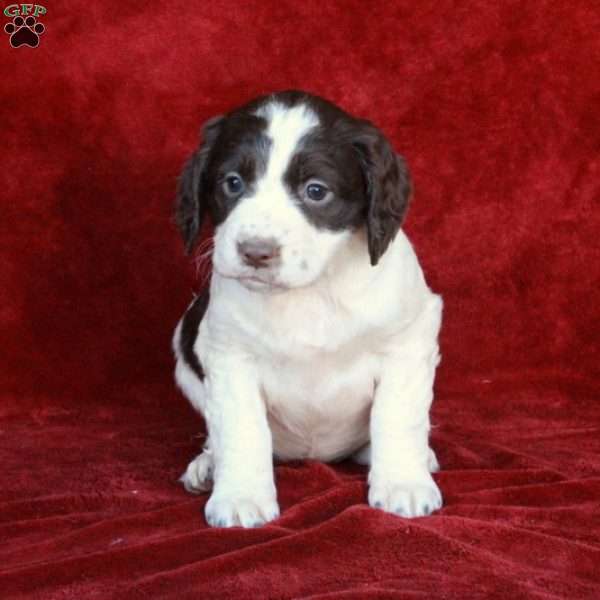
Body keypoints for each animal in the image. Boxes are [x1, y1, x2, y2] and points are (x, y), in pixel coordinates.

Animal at [171, 90, 442, 528]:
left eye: (316, 191)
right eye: (232, 183)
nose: (255, 252)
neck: (311, 292)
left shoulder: (408, 340)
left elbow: (397, 416)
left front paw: (404, 482)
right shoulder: (229, 354)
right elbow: (242, 427)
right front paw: (241, 494)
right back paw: (208, 465)